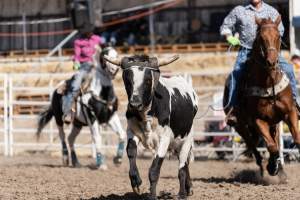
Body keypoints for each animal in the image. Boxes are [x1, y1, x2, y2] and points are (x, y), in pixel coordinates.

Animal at [224, 16, 300, 178]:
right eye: (261, 38)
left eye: (278, 37)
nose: (271, 62)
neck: (268, 82)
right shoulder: (258, 120)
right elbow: (271, 146)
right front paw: (271, 167)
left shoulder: (289, 112)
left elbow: (294, 139)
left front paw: (276, 166)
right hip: (241, 126)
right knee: (253, 146)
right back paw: (264, 169)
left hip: (273, 123)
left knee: (272, 140)